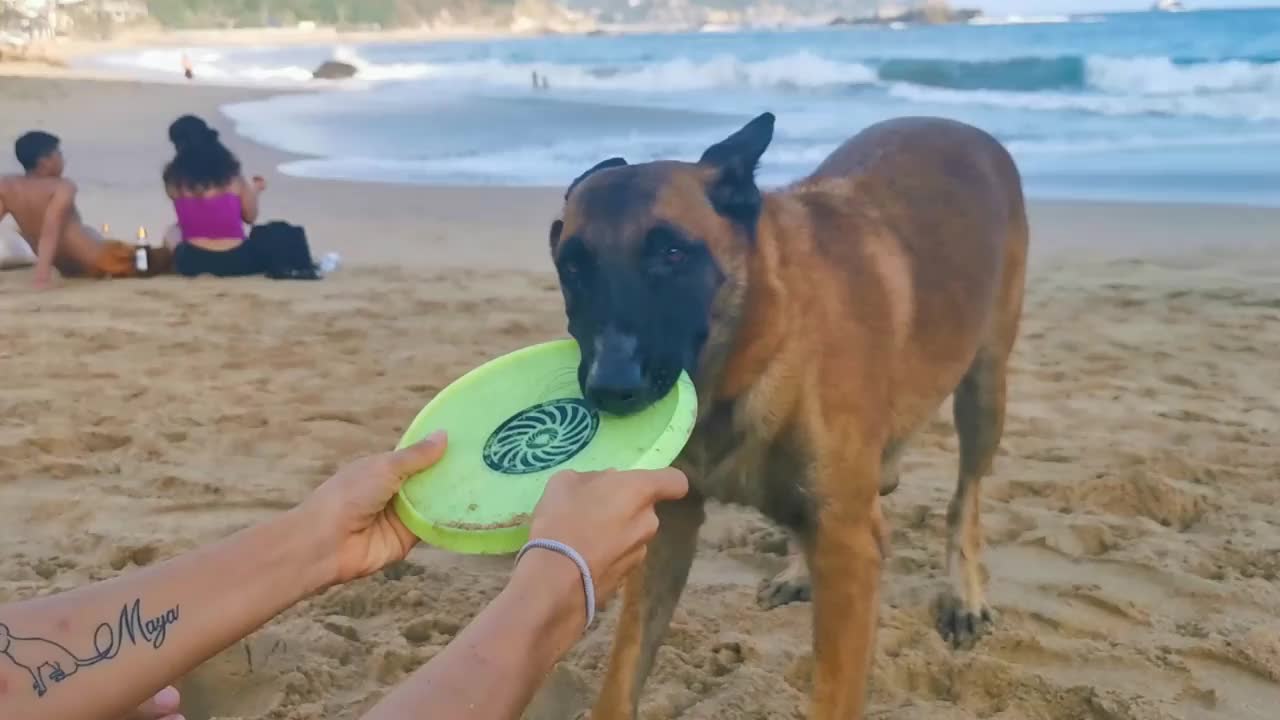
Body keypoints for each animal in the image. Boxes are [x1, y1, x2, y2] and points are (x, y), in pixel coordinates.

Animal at [550, 113, 1029, 717]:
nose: (611, 389)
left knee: (964, 500)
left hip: (984, 389)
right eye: (572, 266)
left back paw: (964, 595)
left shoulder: (850, 551)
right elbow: (621, 677)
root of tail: (964, 127)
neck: (747, 358)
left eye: (673, 254)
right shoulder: (670, 530)